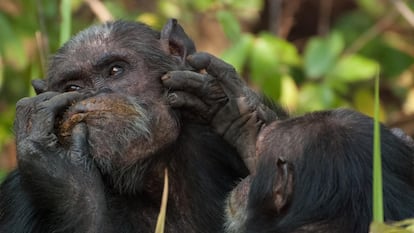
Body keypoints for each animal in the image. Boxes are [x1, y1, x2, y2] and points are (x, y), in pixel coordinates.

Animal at [0, 19, 254, 232]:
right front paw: (65, 172)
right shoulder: (16, 199)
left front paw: (241, 116)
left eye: (115, 70)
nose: (96, 95)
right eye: (73, 87)